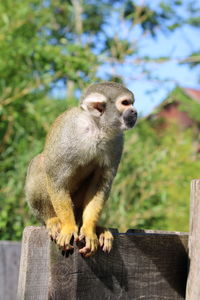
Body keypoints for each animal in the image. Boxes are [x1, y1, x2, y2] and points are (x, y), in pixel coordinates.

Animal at [25, 82, 137, 258]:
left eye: (132, 103)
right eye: (125, 103)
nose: (135, 111)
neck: (96, 128)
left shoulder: (117, 140)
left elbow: (101, 184)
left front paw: (90, 229)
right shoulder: (69, 132)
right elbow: (57, 179)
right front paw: (69, 227)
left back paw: (95, 227)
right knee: (39, 163)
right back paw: (52, 220)